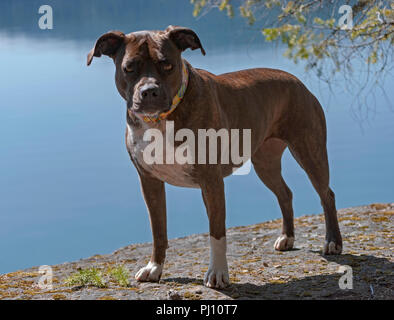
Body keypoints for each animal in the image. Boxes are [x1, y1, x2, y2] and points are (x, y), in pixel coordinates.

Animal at [87, 26, 344, 288]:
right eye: (129, 67)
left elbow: (216, 232)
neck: (160, 120)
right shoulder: (150, 181)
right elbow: (158, 230)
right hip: (265, 162)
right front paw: (154, 267)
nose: (149, 91)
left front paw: (218, 273)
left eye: (167, 64)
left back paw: (333, 242)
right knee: (285, 193)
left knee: (326, 194)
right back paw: (287, 238)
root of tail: (297, 81)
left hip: (309, 151)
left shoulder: (211, 181)